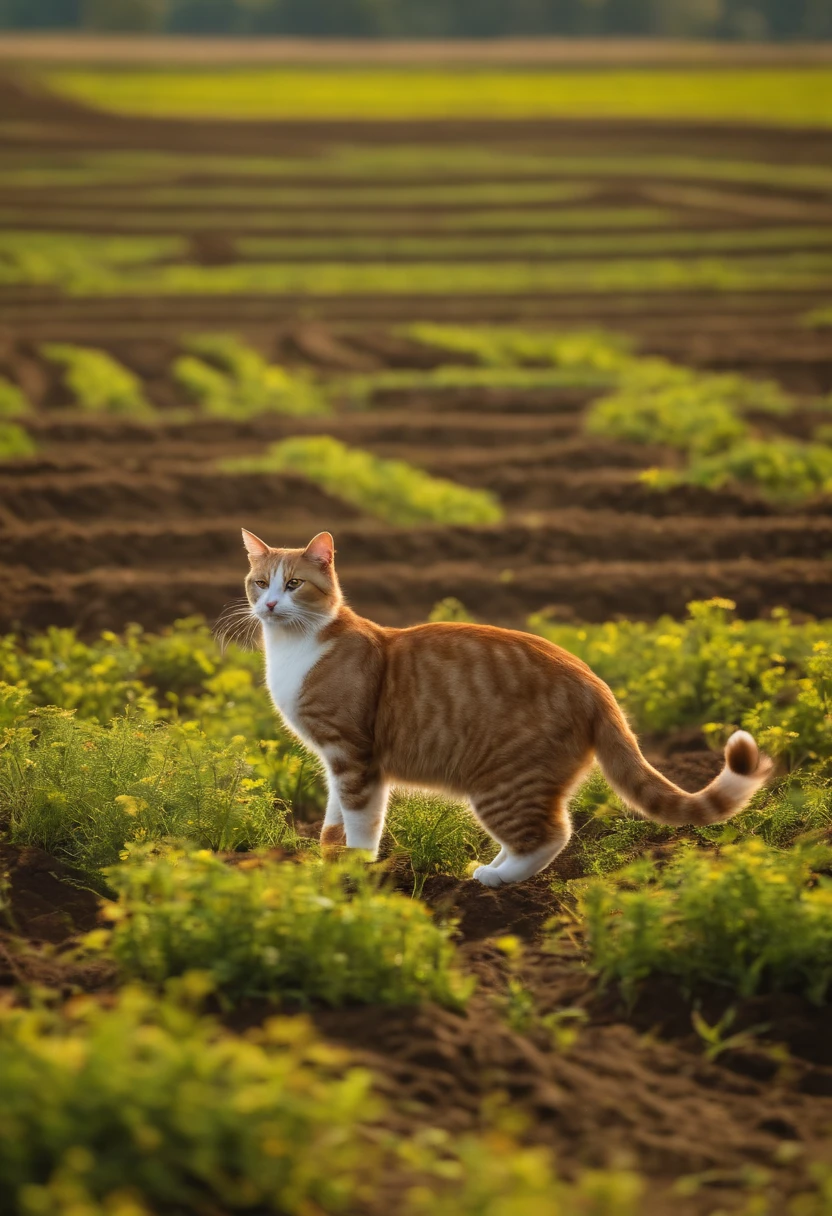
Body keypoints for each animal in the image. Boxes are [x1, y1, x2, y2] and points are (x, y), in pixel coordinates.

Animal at [233, 527, 773, 890]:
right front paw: (331, 861)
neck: (296, 648)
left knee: (554, 834)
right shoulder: (336, 762)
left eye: (294, 584)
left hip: (503, 781)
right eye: (259, 583)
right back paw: (491, 869)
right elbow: (334, 818)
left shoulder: (353, 753)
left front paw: (358, 873)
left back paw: (498, 879)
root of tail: (594, 682)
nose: (270, 605)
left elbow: (363, 820)